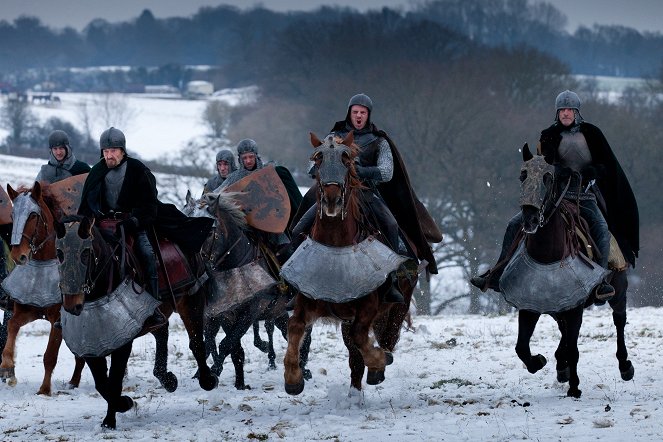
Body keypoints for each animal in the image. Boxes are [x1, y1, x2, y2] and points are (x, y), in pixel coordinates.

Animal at [0, 181, 87, 396]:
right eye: (13, 215)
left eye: (33, 215)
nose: (18, 256)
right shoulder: (28, 311)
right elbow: (12, 326)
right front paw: (7, 367)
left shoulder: (58, 319)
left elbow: (49, 356)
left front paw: (44, 390)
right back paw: (73, 382)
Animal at [184, 191, 314, 390]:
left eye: (209, 230)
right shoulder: (226, 316)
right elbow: (234, 348)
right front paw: (239, 383)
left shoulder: (248, 313)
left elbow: (225, 345)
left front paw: (214, 373)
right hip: (278, 312)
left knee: (304, 337)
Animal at [282, 133, 418, 396]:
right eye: (318, 159)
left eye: (347, 161)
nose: (332, 200)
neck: (336, 243)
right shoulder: (308, 299)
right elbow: (294, 327)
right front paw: (293, 379)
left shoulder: (369, 304)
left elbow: (361, 336)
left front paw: (378, 361)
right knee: (355, 356)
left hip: (399, 304)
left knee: (387, 337)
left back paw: (378, 367)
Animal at [506, 144, 636, 398]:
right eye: (522, 175)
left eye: (548, 178)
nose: (530, 219)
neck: (547, 254)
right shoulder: (531, 303)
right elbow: (522, 347)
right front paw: (540, 361)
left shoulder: (575, 305)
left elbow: (574, 347)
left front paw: (574, 387)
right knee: (563, 332)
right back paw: (560, 365)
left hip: (618, 288)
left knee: (619, 319)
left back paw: (625, 365)